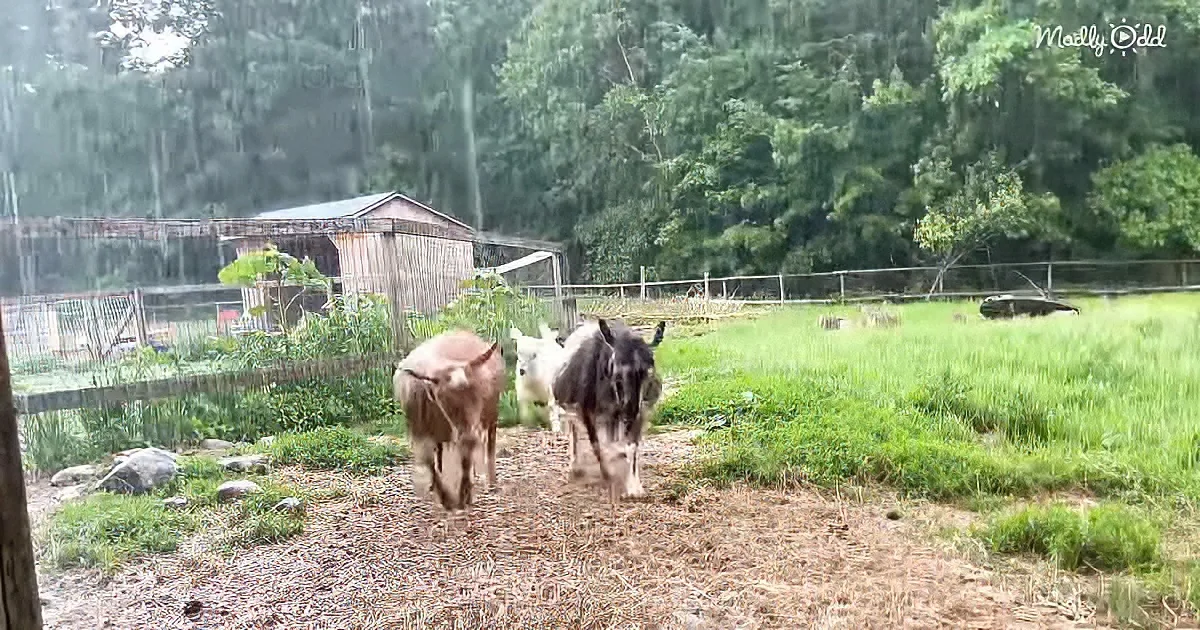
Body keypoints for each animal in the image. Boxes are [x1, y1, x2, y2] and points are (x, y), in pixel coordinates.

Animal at [393, 330, 503, 512]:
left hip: (491, 414)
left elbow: (466, 457)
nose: (470, 436)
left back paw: (491, 482)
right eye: (444, 399)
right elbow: (429, 461)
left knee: (490, 443)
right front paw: (446, 498)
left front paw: (464, 495)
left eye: (479, 393)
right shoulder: (418, 432)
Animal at [552, 319, 666, 500]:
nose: (629, 409)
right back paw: (575, 467)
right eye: (616, 371)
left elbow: (632, 445)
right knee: (574, 431)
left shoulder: (640, 412)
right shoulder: (586, 411)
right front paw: (607, 473)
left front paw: (634, 487)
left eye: (648, 372)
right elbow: (596, 443)